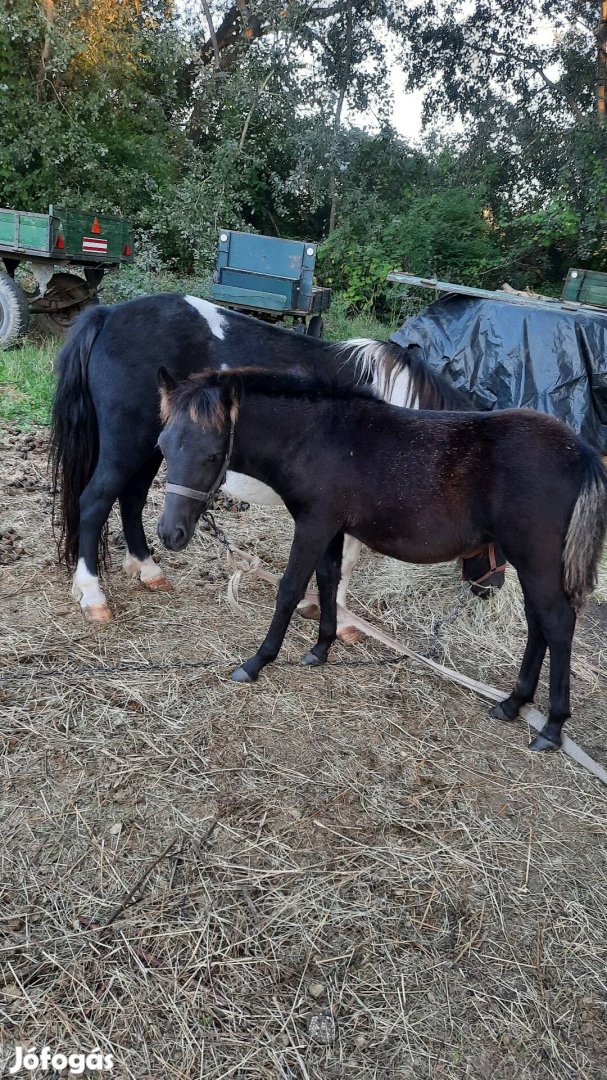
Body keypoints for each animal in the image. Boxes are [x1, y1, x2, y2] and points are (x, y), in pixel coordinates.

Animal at [51, 291, 503, 630]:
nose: (492, 588)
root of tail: (110, 315)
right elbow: (347, 561)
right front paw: (337, 618)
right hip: (127, 445)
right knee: (95, 502)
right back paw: (92, 595)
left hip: (151, 448)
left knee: (131, 500)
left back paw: (149, 570)